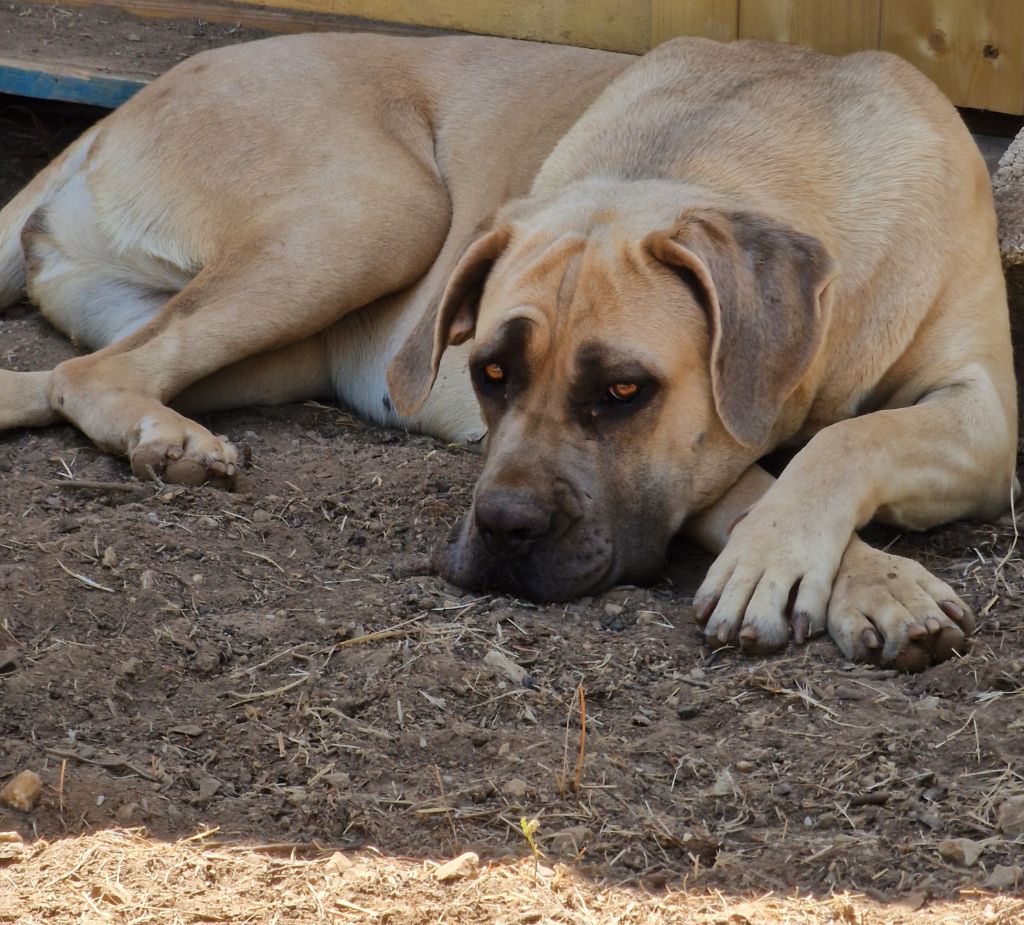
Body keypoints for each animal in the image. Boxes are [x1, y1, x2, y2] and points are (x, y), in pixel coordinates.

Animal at [0, 34, 1011, 671]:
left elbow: (850, 439)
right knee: (98, 371)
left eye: (626, 390)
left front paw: (836, 570)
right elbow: (761, 477)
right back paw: (164, 437)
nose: (503, 529)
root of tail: (124, 104)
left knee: (67, 374)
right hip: (375, 213)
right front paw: (862, 577)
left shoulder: (985, 413)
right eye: (489, 374)